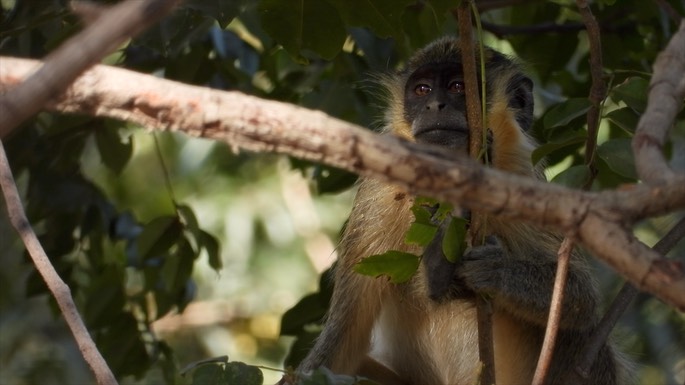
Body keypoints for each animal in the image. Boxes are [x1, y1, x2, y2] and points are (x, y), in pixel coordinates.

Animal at [288, 36, 624, 384]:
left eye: (458, 86)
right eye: (422, 90)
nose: (435, 105)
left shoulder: (523, 176)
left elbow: (580, 298)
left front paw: (496, 270)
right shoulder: (378, 189)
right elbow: (341, 344)